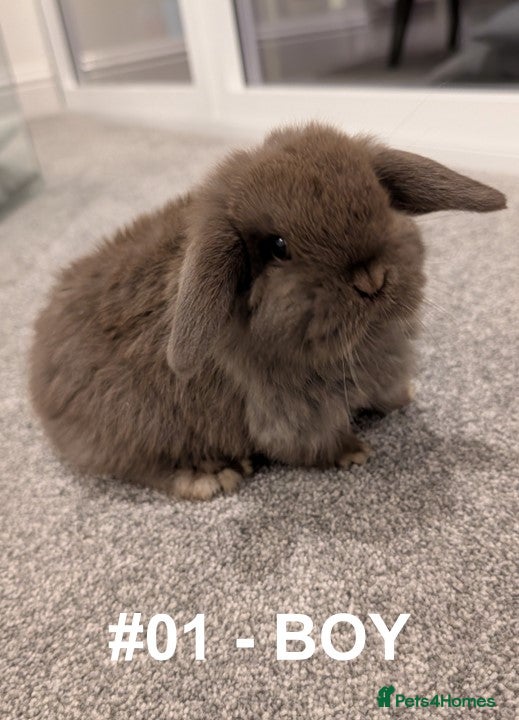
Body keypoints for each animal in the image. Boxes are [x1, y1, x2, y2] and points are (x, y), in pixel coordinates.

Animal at [29, 123, 506, 500]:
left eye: (381, 197)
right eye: (278, 247)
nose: (371, 279)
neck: (359, 343)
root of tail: (36, 366)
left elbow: (387, 393)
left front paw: (404, 396)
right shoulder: (292, 414)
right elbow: (311, 444)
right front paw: (354, 453)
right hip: (134, 426)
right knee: (141, 466)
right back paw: (210, 475)